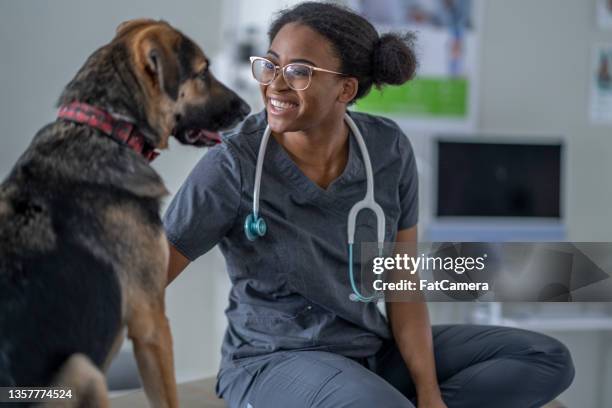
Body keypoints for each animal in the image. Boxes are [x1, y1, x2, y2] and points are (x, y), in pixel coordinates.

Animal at [0, 19, 251, 408]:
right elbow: (167, 398)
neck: (105, 127)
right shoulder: (152, 324)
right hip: (81, 370)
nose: (247, 108)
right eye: (202, 72)